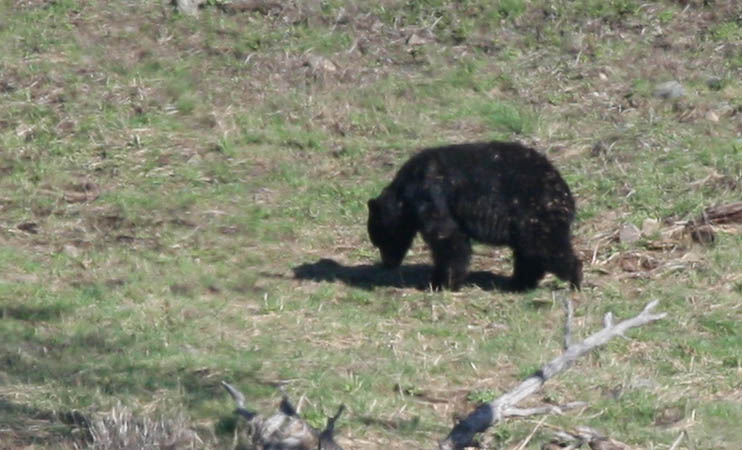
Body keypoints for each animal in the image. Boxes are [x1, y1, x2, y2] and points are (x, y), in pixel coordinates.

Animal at [370, 142, 584, 294]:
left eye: (380, 240)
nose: (387, 264)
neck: (404, 194)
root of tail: (565, 194)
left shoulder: (432, 195)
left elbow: (448, 238)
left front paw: (440, 283)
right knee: (529, 254)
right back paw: (518, 283)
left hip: (535, 214)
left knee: (546, 247)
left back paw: (575, 278)